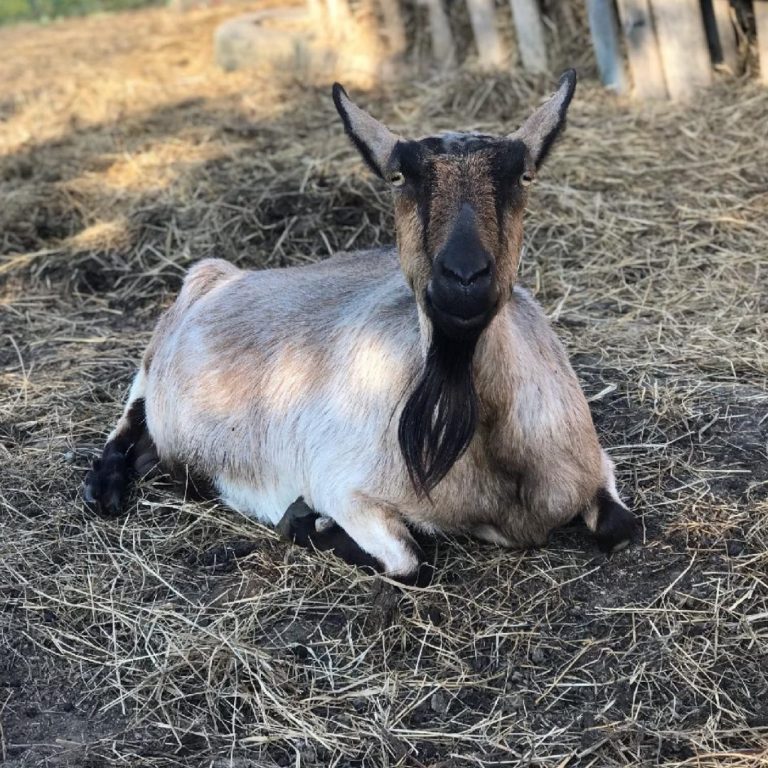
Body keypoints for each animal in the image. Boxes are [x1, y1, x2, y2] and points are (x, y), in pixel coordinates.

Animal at [85, 70, 636, 584]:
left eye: (522, 175)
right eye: (398, 177)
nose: (463, 277)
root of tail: (222, 275)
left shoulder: (595, 465)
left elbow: (622, 528)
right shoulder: (341, 482)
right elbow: (410, 561)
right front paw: (303, 522)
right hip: (160, 348)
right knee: (133, 405)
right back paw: (107, 483)